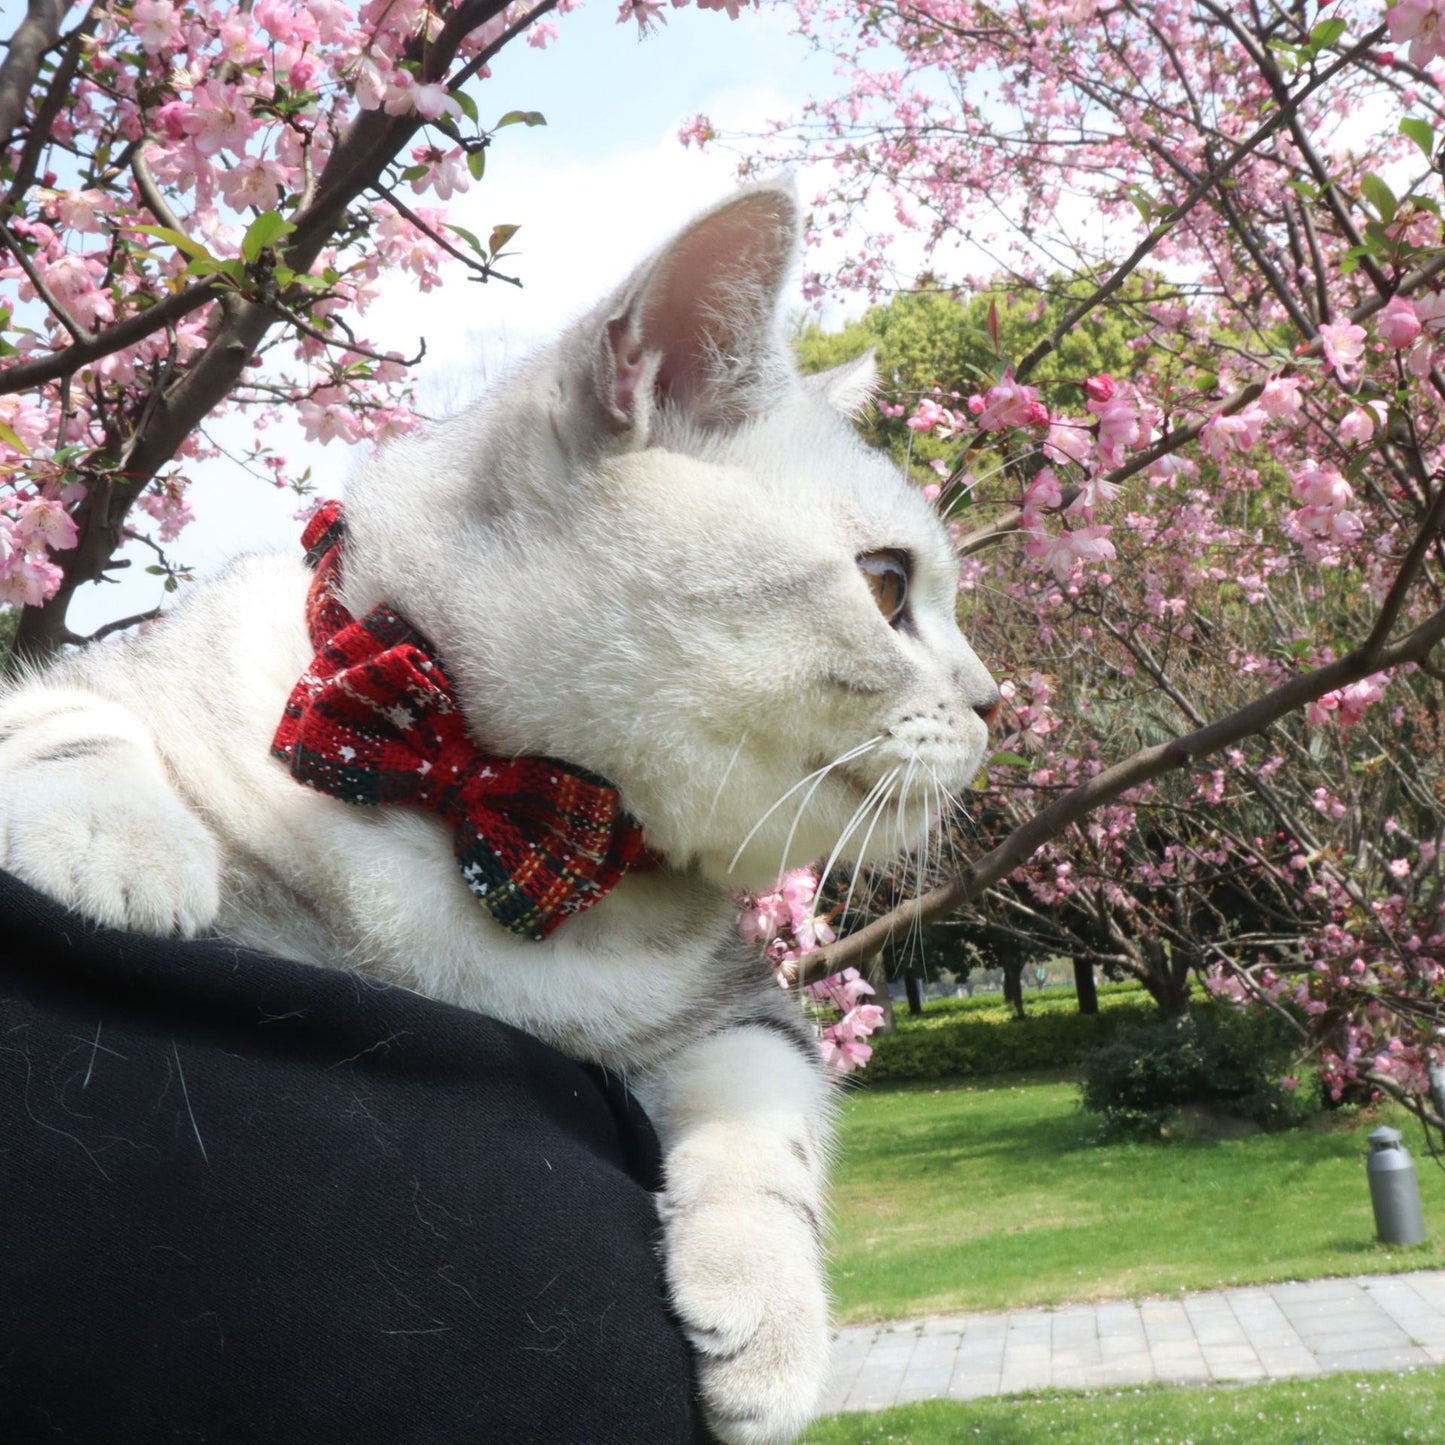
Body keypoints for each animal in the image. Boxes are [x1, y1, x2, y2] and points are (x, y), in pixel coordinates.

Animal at [0, 183, 994, 1445]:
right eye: (885, 586)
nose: (995, 700)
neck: (468, 790)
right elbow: (68, 712)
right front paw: (115, 842)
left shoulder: (737, 1002)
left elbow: (770, 1113)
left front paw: (767, 1325)